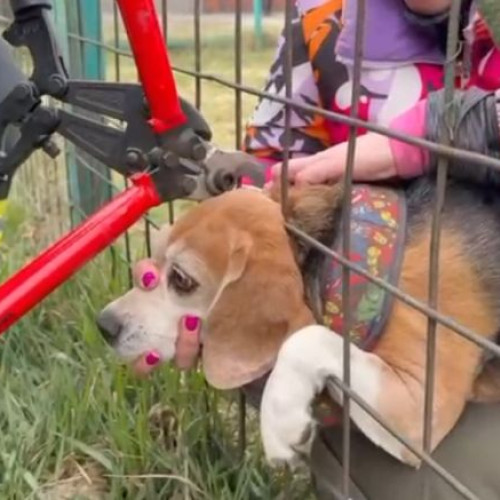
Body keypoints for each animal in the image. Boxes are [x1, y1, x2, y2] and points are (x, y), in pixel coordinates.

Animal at [97, 174, 500, 468]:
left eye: (181, 279)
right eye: (154, 259)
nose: (104, 325)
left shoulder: (421, 410)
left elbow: (306, 338)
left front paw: (281, 421)